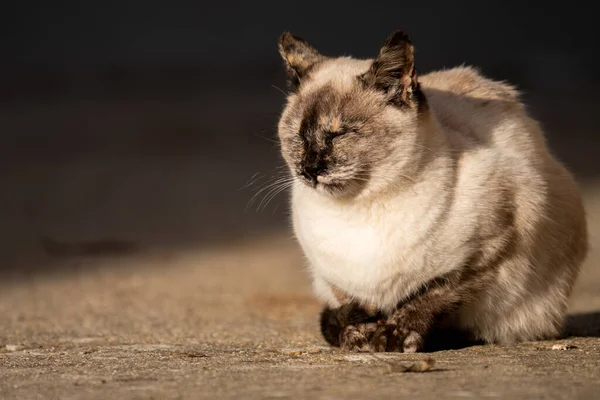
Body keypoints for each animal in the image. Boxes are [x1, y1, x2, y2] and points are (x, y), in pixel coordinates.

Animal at [276, 29, 592, 352]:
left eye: (339, 134)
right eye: (299, 137)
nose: (309, 168)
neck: (356, 211)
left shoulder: (487, 253)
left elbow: (431, 295)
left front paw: (396, 337)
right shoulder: (332, 277)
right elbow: (350, 305)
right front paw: (358, 335)